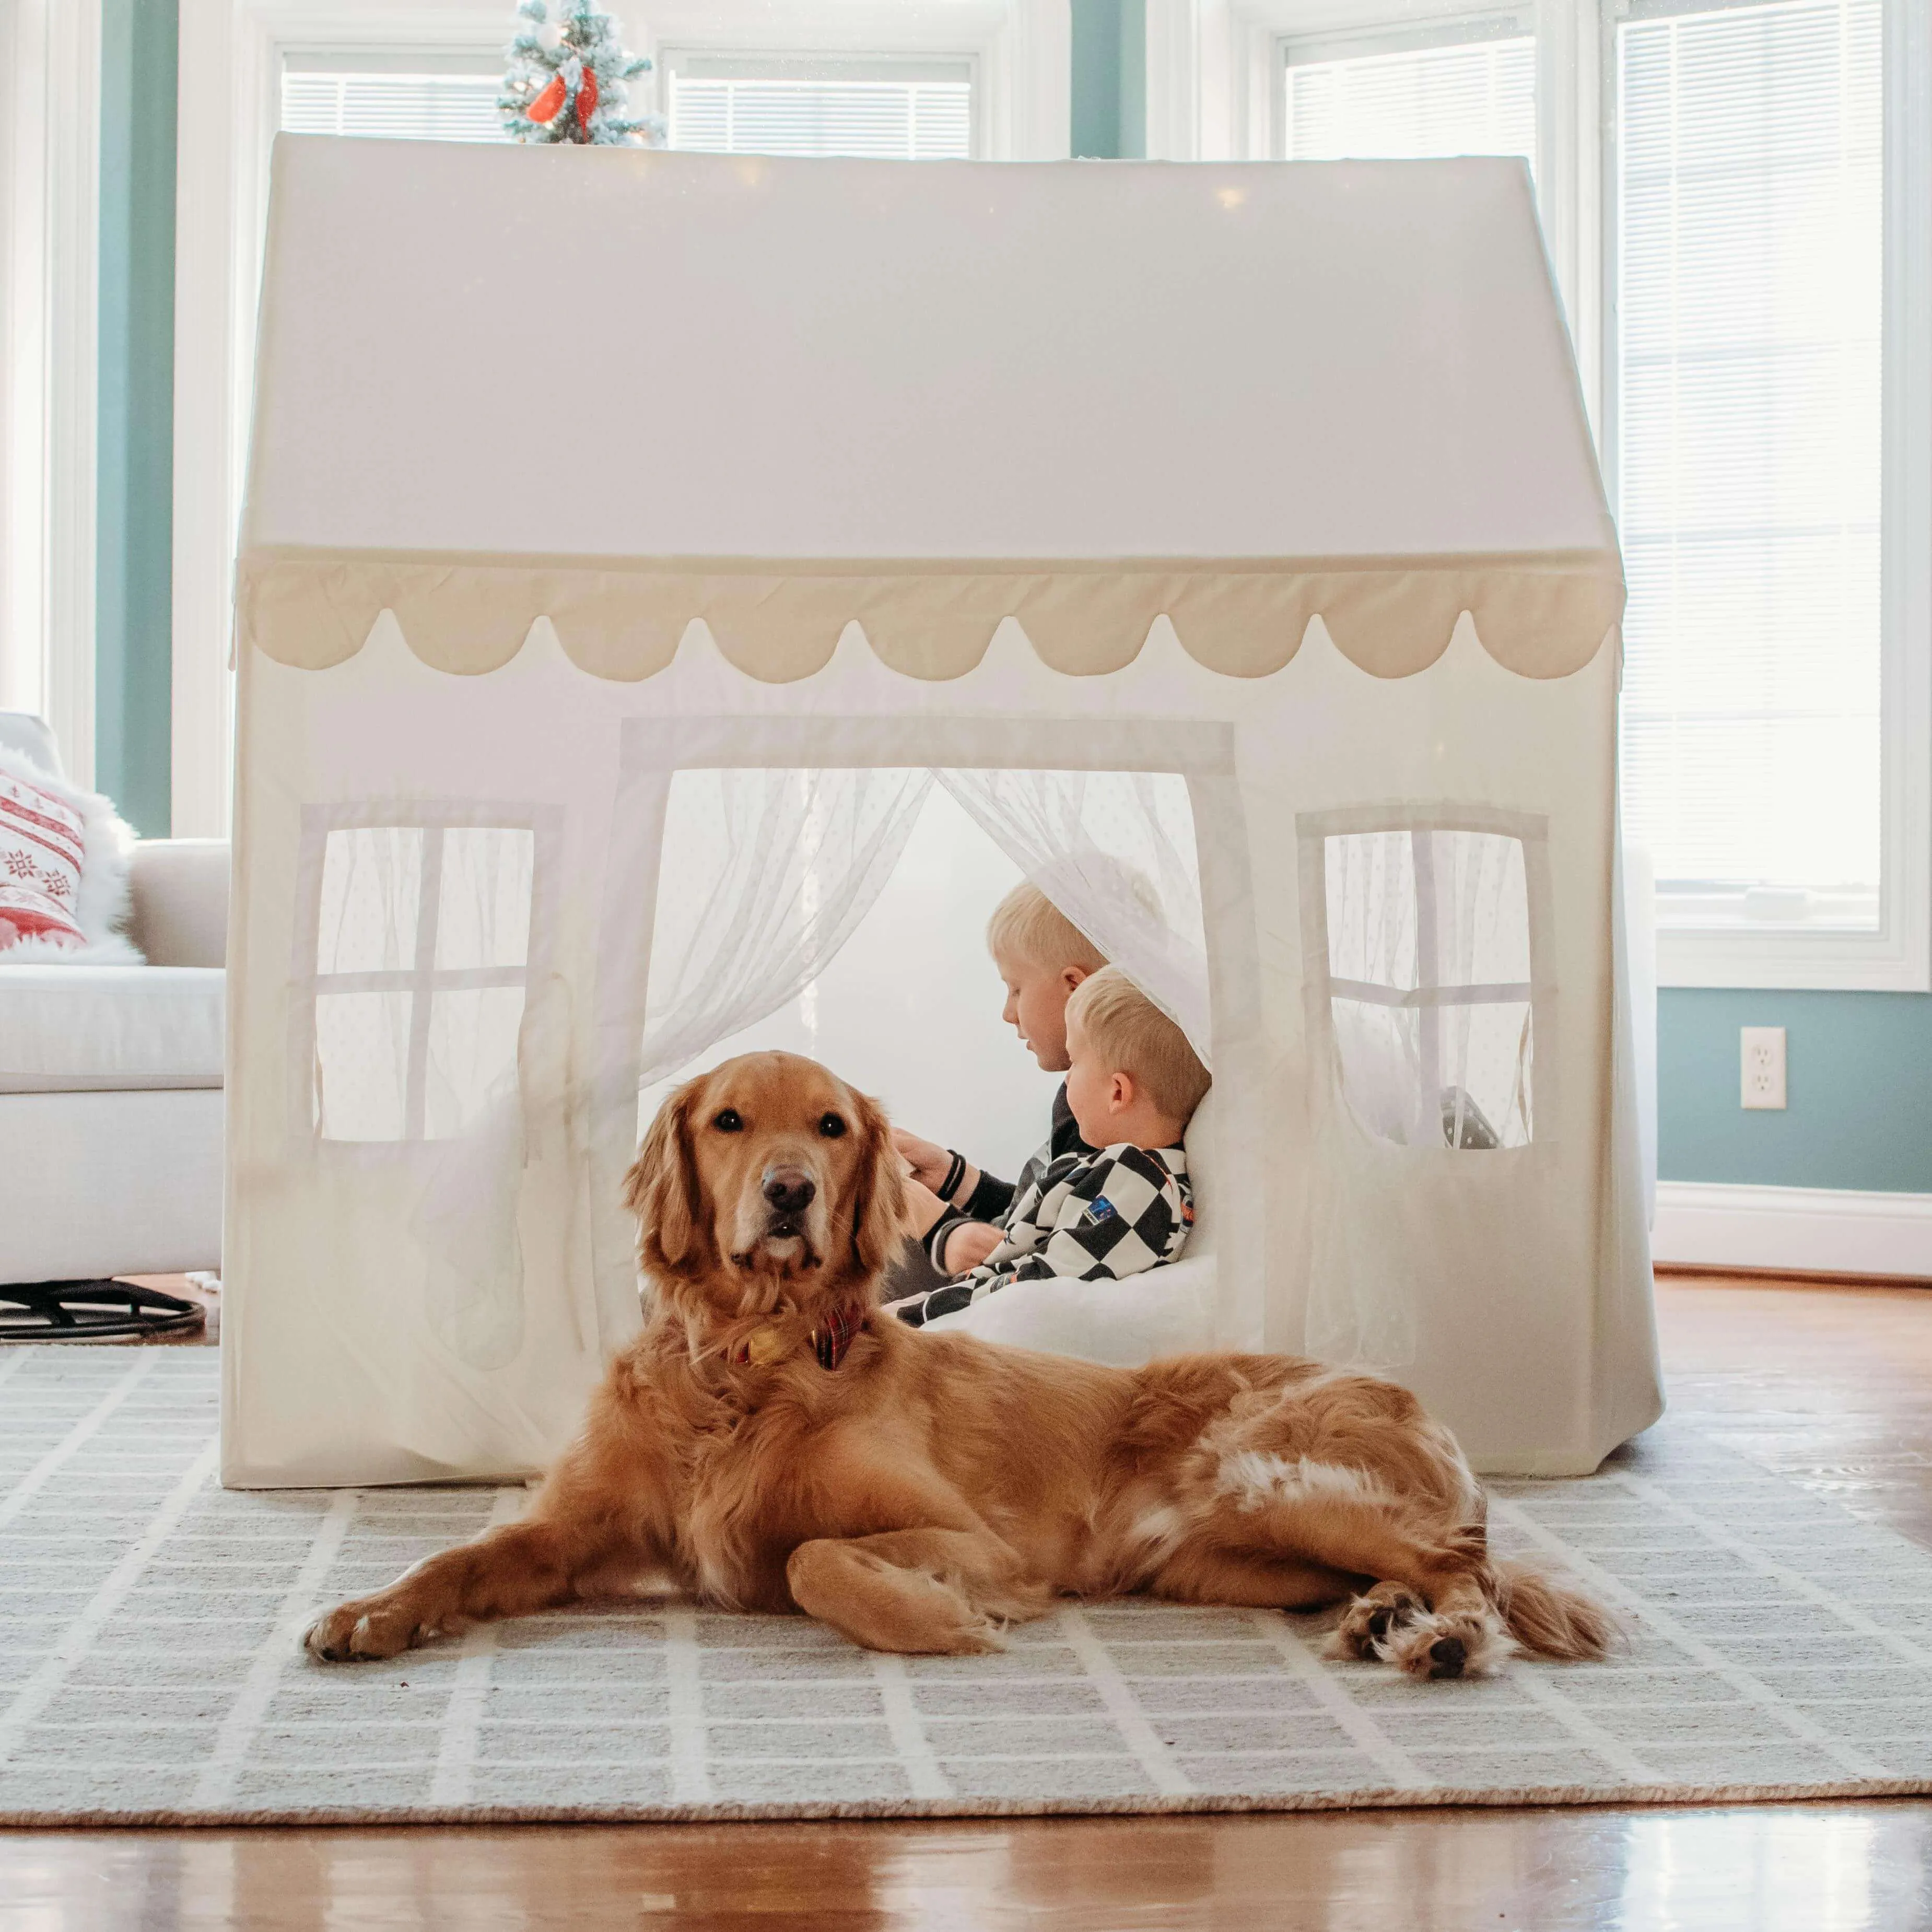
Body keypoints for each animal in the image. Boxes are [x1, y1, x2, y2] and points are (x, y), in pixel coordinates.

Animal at [309, 1059, 1615, 1677]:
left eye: (830, 1125)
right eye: (728, 1121)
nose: (789, 1192)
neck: (754, 1356)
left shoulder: (970, 1538)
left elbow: (817, 1560)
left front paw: (932, 1623)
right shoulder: (575, 1524)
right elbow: (462, 1555)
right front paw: (373, 1611)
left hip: (1257, 1475)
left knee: (1465, 1566)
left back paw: (1440, 1639)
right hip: (1228, 1558)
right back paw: (1385, 1619)